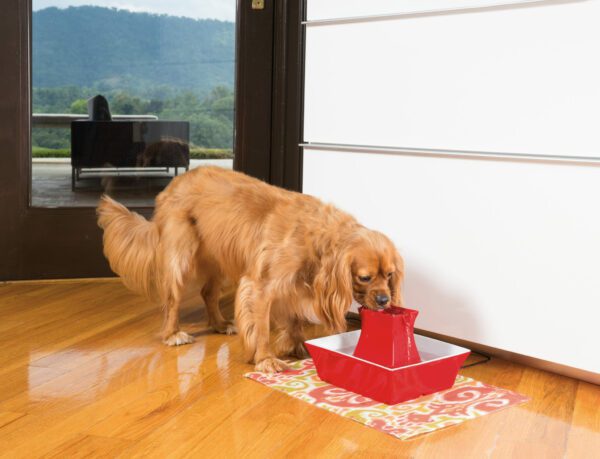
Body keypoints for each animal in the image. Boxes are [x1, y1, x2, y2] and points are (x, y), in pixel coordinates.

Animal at [98, 166, 406, 374]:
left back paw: (220, 324)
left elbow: (294, 320)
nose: (384, 300)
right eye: (364, 277)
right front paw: (266, 359)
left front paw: (298, 347)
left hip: (219, 257)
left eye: (390, 275)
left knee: (208, 292)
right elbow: (260, 327)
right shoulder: (261, 285)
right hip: (181, 256)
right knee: (172, 299)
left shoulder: (293, 286)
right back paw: (174, 334)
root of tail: (174, 183)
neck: (317, 239)